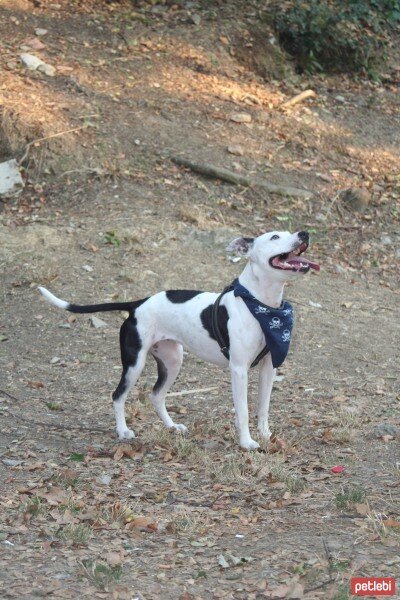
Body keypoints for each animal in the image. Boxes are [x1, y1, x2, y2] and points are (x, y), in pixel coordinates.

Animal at [37, 230, 318, 450]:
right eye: (274, 237)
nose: (305, 233)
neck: (261, 305)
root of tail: (137, 304)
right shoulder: (239, 370)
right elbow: (244, 410)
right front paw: (247, 442)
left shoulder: (270, 366)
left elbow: (264, 406)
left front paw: (266, 434)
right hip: (134, 364)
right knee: (118, 395)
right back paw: (123, 431)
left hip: (173, 361)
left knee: (156, 396)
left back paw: (172, 427)